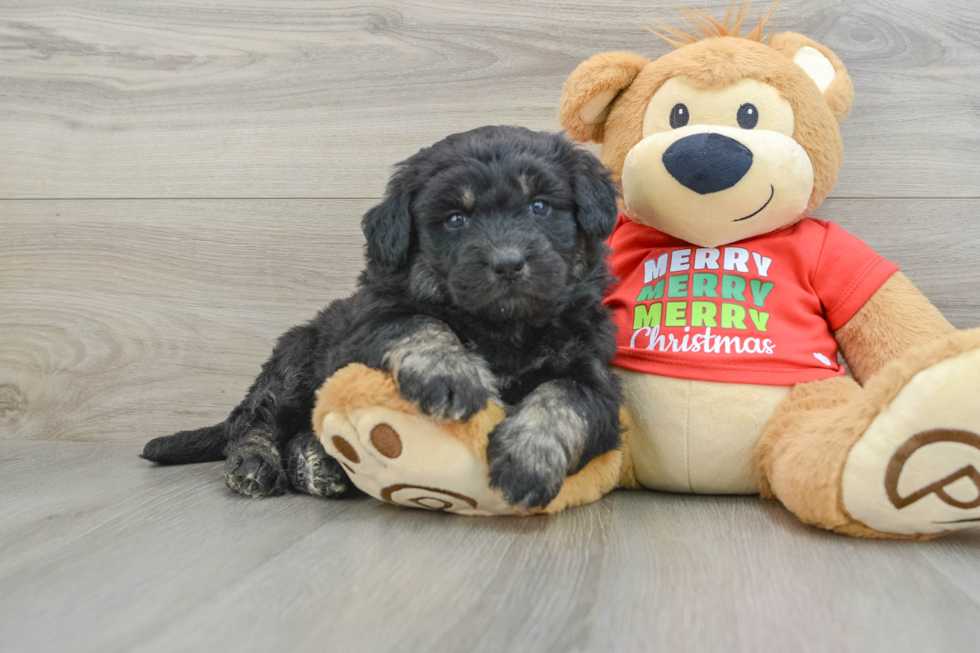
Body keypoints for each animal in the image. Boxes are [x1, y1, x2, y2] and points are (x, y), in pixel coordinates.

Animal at [145, 125, 620, 506]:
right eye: (455, 219)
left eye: (539, 206)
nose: (507, 263)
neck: (503, 327)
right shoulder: (369, 324)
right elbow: (420, 322)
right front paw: (450, 375)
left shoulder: (594, 375)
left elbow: (563, 398)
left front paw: (527, 461)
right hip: (294, 363)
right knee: (254, 421)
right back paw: (255, 464)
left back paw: (322, 465)